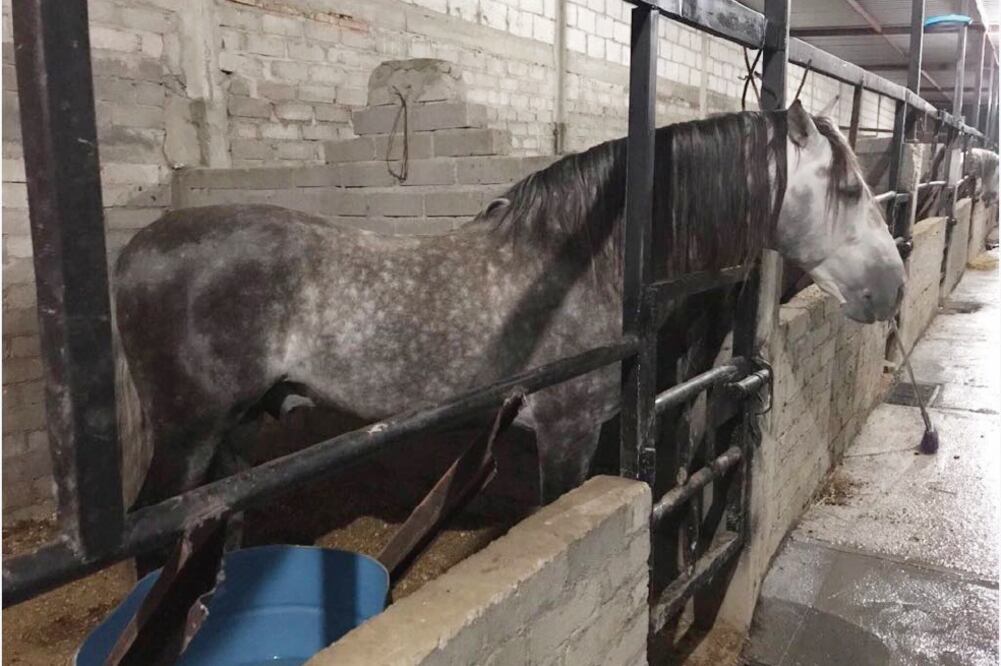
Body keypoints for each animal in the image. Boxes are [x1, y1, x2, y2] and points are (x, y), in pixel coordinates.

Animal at [114, 101, 905, 572]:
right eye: (846, 189)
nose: (892, 287)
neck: (588, 263)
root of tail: (135, 252)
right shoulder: (565, 431)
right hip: (189, 434)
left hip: (241, 427)